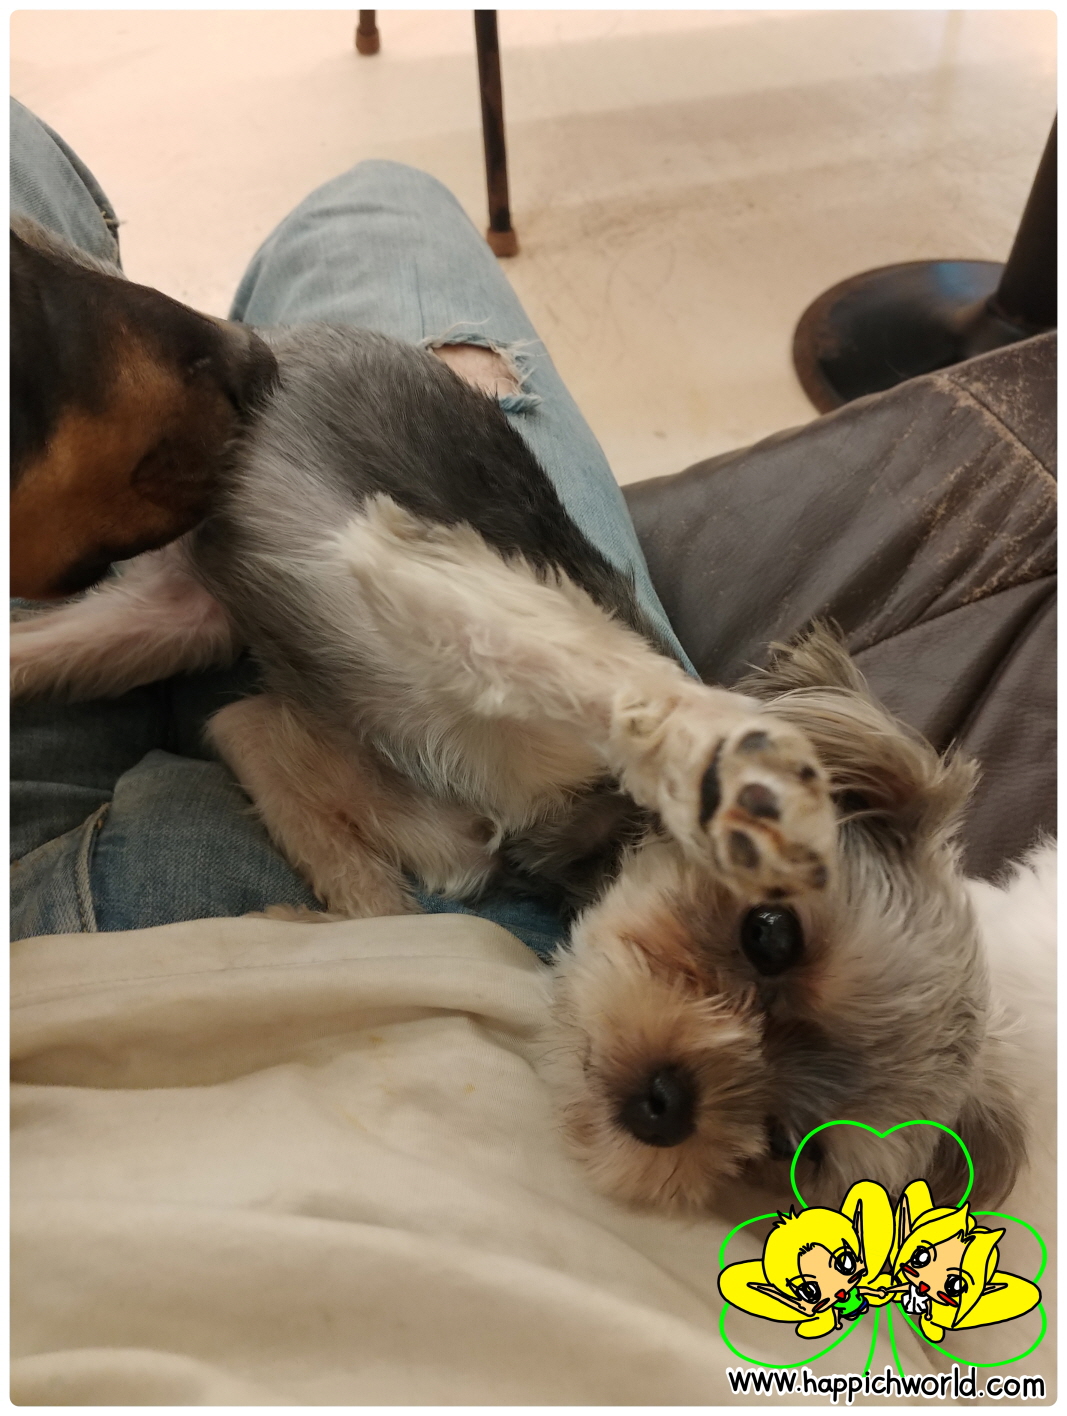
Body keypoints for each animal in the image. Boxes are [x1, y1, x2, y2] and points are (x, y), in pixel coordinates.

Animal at [10, 222, 1025, 1216]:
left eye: (785, 1150)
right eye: (770, 936)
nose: (664, 1105)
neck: (587, 826)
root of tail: (272, 342)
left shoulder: (417, 810)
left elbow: (295, 785)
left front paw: (330, 923)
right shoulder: (427, 572)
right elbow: (598, 670)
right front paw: (727, 755)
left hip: (157, 624)